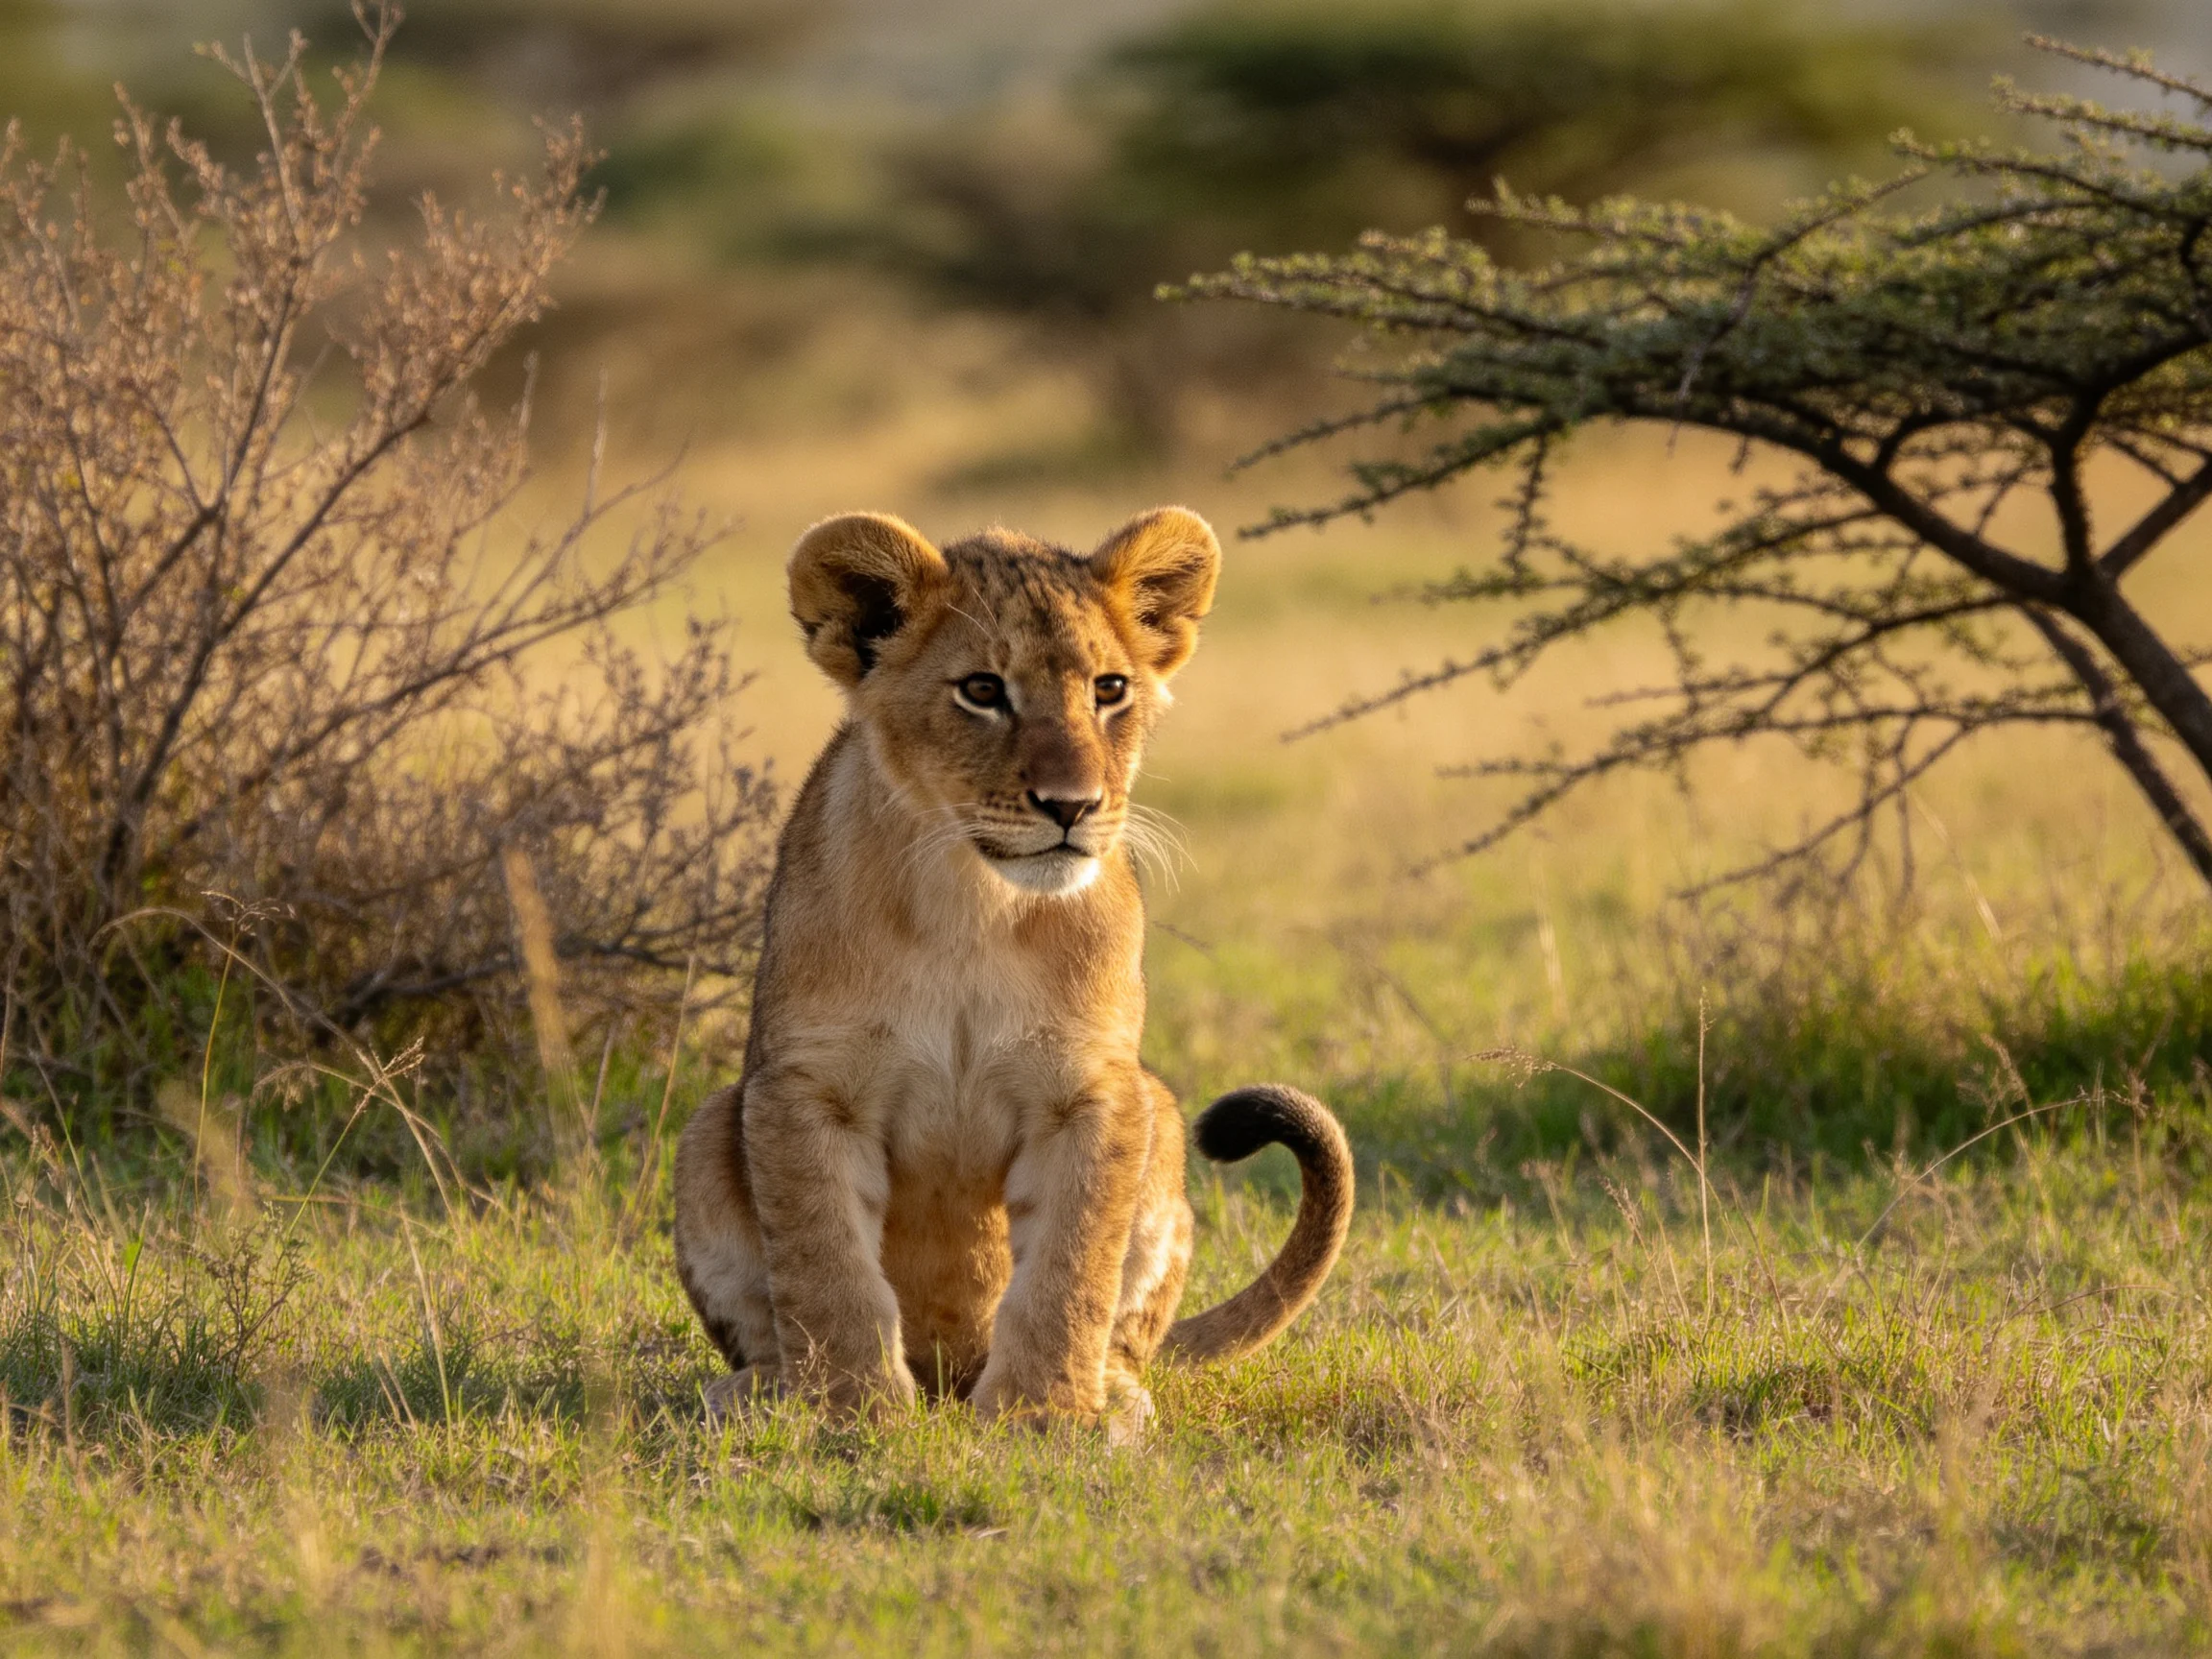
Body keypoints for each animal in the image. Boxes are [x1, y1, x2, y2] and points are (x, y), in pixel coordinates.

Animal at [672, 506, 1353, 1435]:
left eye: (1110, 689)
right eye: (983, 691)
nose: (1073, 806)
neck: (974, 904)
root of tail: (949, 1377)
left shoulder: (1092, 1091)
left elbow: (1070, 1271)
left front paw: (1046, 1415)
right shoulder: (806, 1087)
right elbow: (826, 1269)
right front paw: (851, 1412)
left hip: (1161, 1112)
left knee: (1129, 1336)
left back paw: (1114, 1396)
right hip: (710, 1125)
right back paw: (755, 1393)